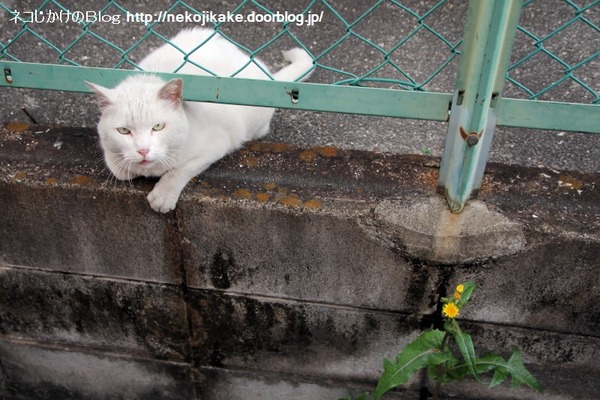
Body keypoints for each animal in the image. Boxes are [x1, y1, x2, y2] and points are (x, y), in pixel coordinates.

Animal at [90, 27, 314, 212]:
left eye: (158, 126)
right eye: (124, 131)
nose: (143, 150)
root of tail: (269, 78)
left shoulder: (217, 143)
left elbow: (180, 169)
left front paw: (163, 195)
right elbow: (119, 168)